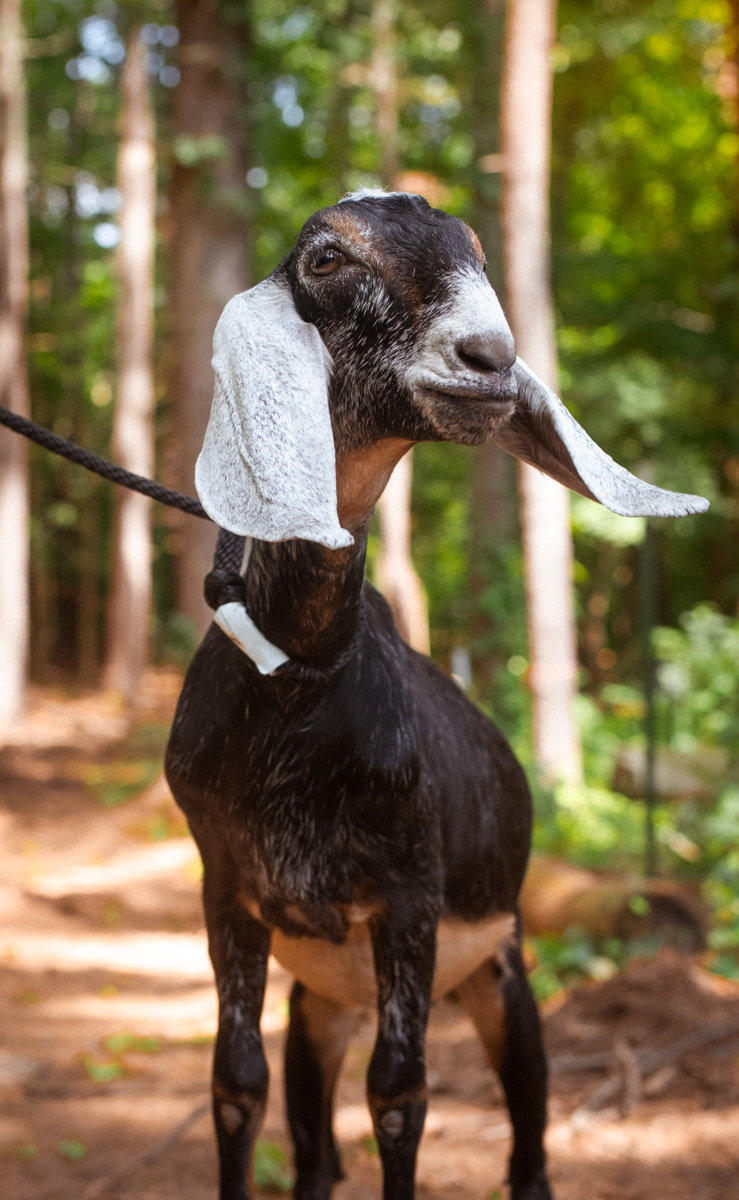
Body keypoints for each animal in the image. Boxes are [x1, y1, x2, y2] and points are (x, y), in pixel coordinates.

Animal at [165, 190, 707, 1200]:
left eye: (478, 257)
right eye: (326, 258)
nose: (489, 358)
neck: (300, 681)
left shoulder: (409, 894)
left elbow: (398, 1091)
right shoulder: (226, 885)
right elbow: (235, 1081)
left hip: (498, 974)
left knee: (526, 1138)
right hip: (320, 1005)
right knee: (313, 1150)